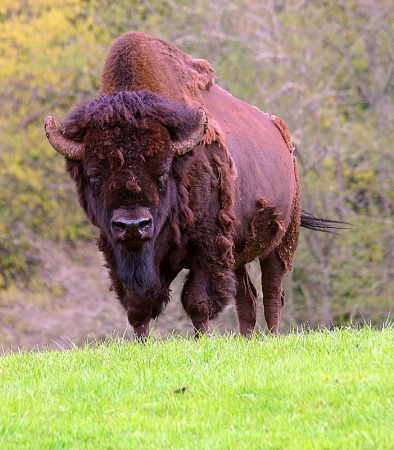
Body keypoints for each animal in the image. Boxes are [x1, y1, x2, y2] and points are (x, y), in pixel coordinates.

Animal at [45, 31, 342, 340]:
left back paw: (271, 335)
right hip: (237, 249)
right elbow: (138, 305)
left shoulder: (208, 247)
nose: (133, 225)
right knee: (246, 296)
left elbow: (197, 301)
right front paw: (142, 343)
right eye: (94, 175)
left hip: (281, 239)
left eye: (163, 171)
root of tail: (282, 138)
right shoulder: (118, 252)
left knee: (273, 291)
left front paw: (203, 340)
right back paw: (246, 338)